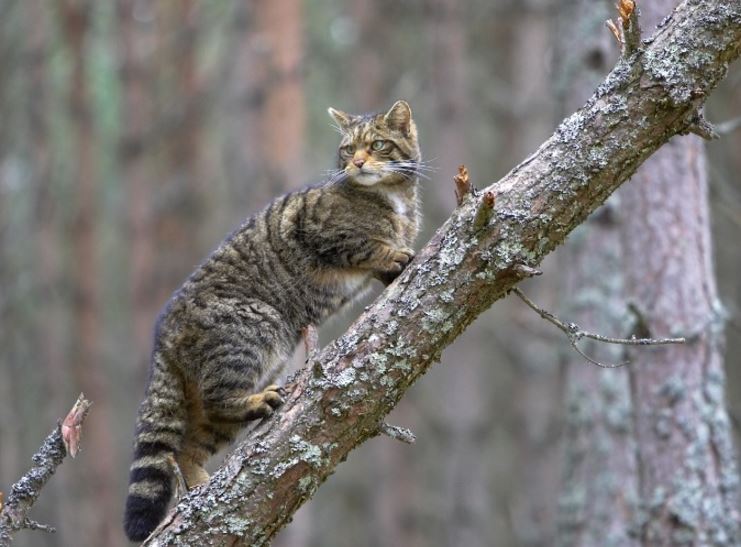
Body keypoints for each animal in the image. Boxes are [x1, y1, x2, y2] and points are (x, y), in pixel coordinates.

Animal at [125, 100, 424, 540]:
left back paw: (202, 488)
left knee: (187, 447)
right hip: (257, 330)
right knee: (214, 402)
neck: (392, 197)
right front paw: (393, 252)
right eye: (348, 148)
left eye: (378, 144)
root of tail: (162, 333)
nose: (357, 162)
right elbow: (366, 244)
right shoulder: (317, 228)